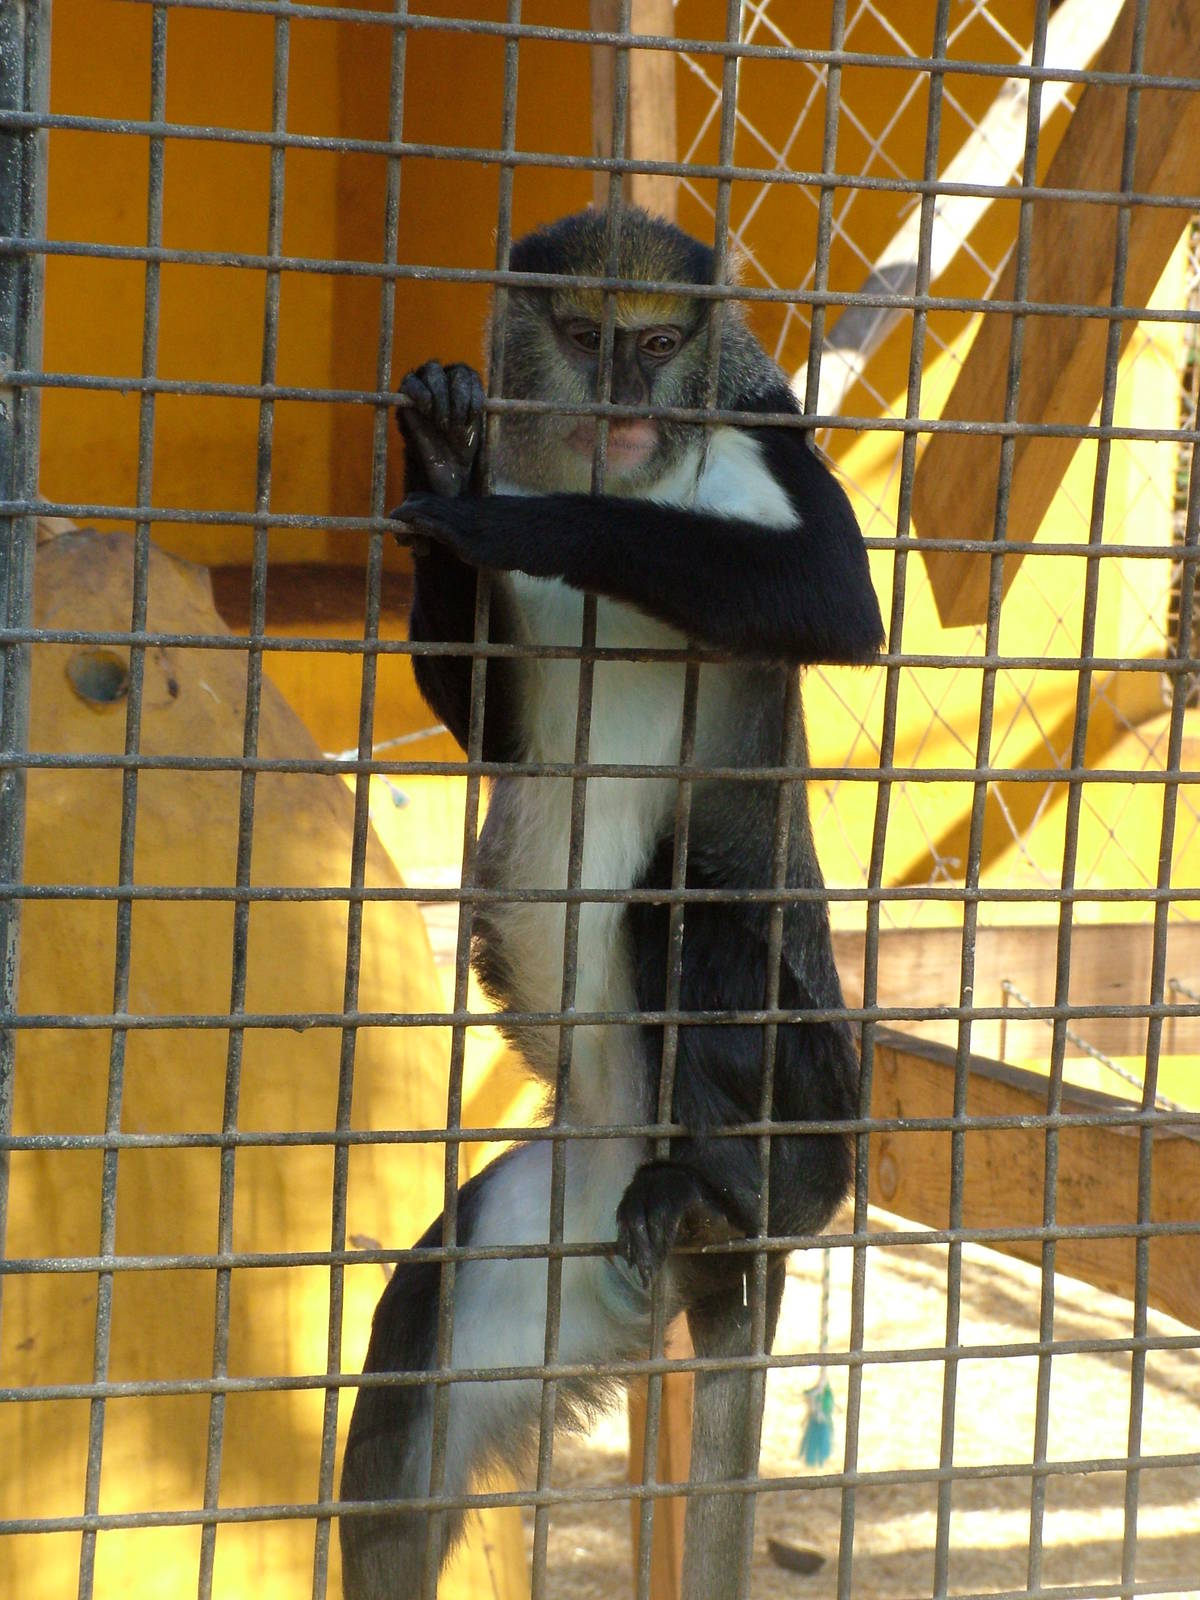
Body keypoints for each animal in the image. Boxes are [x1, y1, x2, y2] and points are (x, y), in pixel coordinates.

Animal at [339, 206, 884, 1599]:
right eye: (586, 339)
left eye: (657, 343)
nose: (629, 406)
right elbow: (495, 730)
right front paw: (446, 447)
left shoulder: (763, 435)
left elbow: (830, 591)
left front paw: (503, 519)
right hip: (549, 1251)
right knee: (412, 1377)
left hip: (814, 1106)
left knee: (669, 909)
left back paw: (727, 1200)